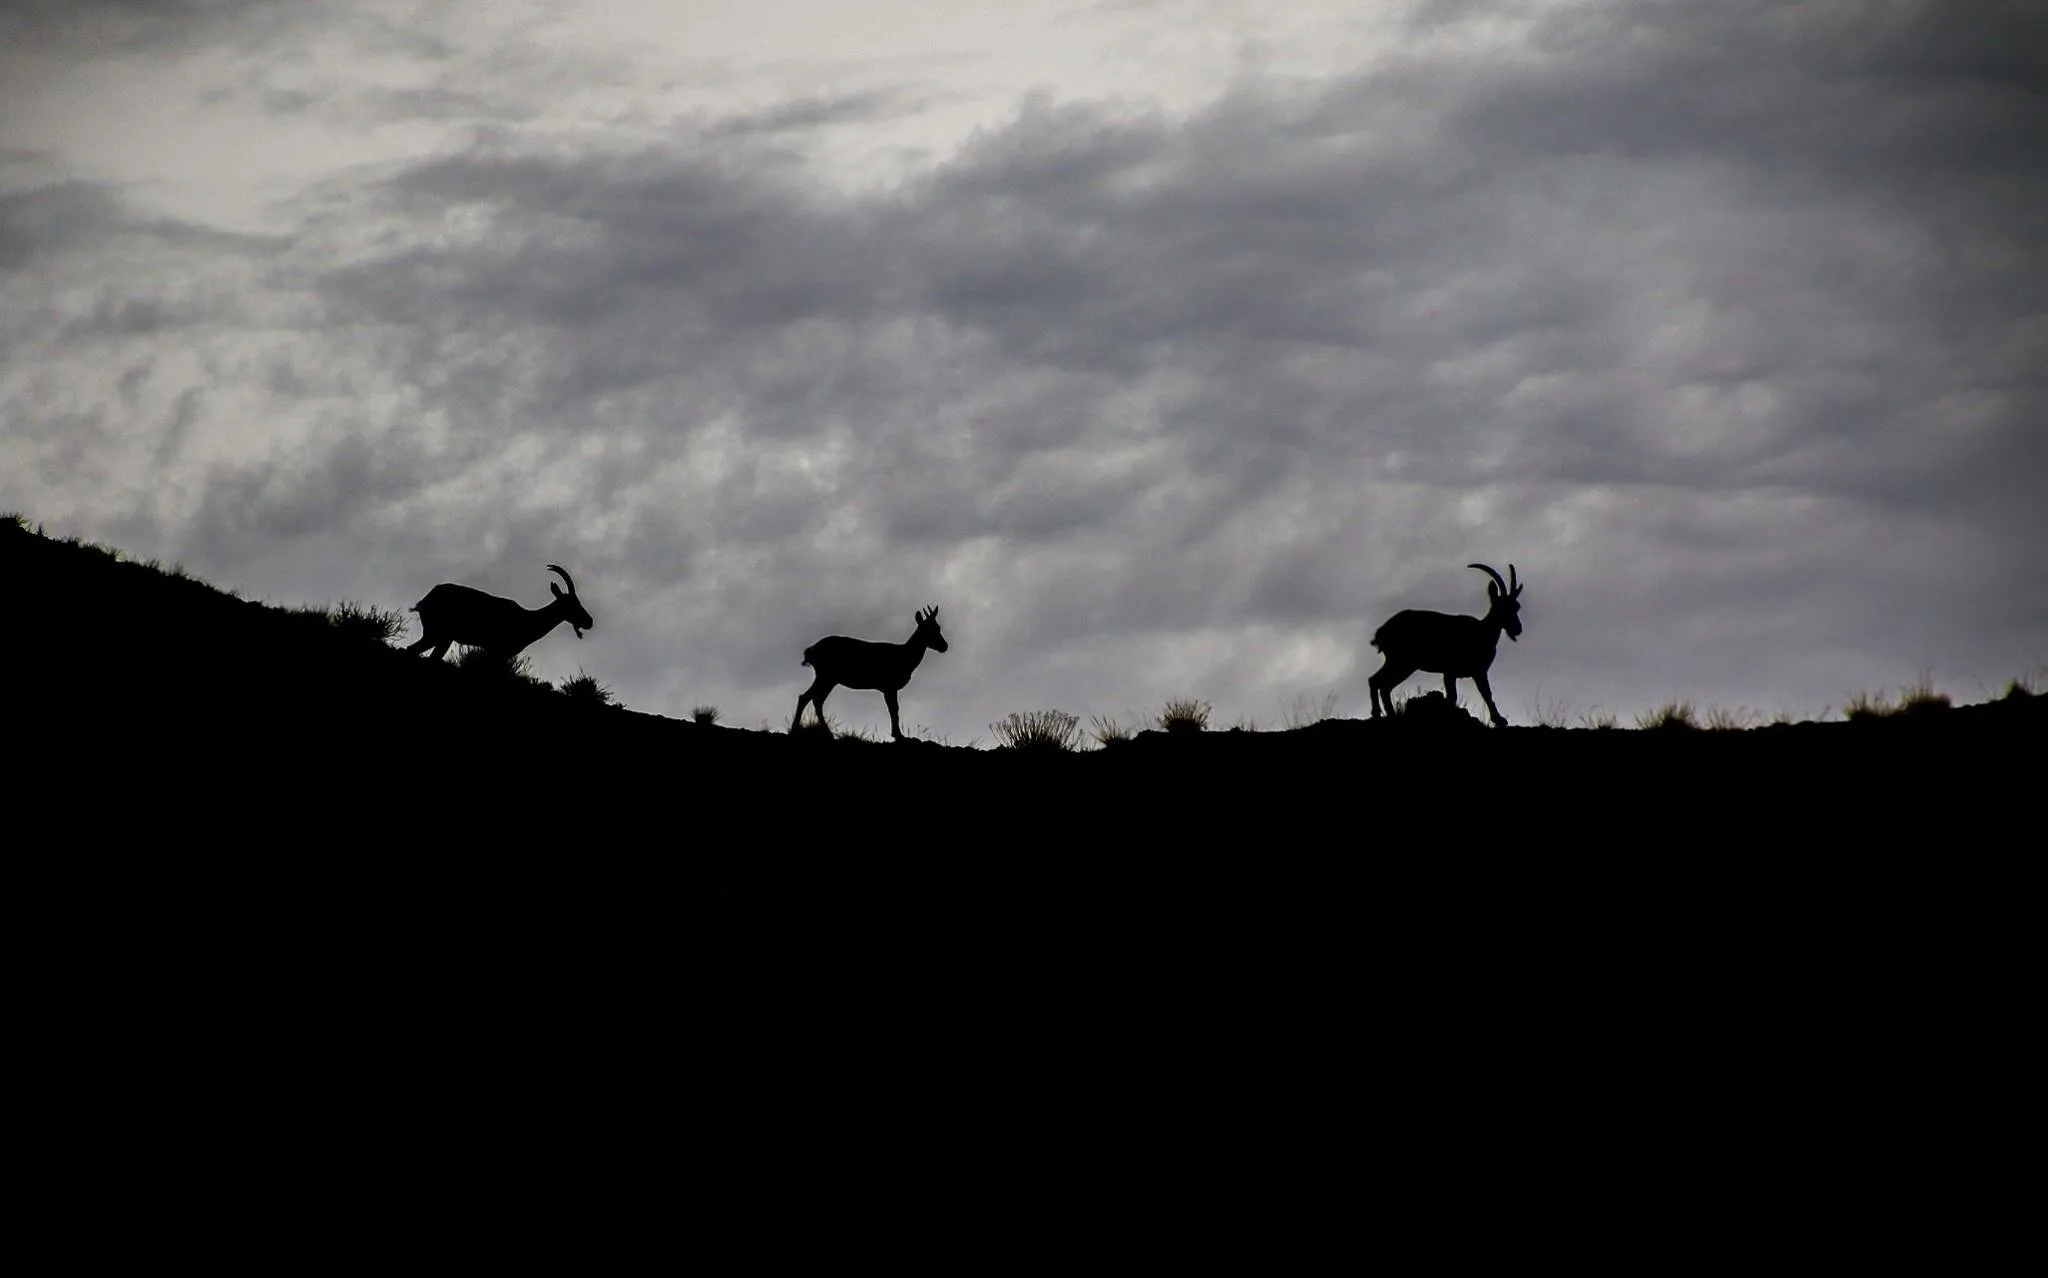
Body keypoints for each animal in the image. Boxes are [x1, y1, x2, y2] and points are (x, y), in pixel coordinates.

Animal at [405, 564, 593, 661]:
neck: (528, 620)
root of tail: (424, 601)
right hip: (437, 633)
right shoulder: (498, 651)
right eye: (572, 603)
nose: (589, 621)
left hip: (443, 637)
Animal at [791, 606, 949, 741]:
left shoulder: (889, 688)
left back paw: (825, 731)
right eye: (927, 629)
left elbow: (894, 710)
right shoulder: (889, 686)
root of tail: (810, 651)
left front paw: (897, 734)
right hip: (825, 675)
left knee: (816, 700)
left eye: (938, 627)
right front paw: (898, 735)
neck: (905, 658)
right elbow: (894, 710)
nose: (944, 646)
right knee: (806, 697)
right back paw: (796, 729)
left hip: (829, 678)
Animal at [1368, 563, 1523, 727]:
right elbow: (1458, 697)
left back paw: (1384, 714)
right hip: (1402, 662)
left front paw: (1499, 719)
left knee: (1378, 682)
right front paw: (1499, 720)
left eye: (1517, 606)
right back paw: (1382, 714)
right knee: (1379, 682)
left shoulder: (1476, 672)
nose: (1517, 629)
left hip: (1400, 663)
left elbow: (1485, 694)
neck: (1482, 632)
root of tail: (1381, 632)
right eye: (1502, 607)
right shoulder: (1452, 671)